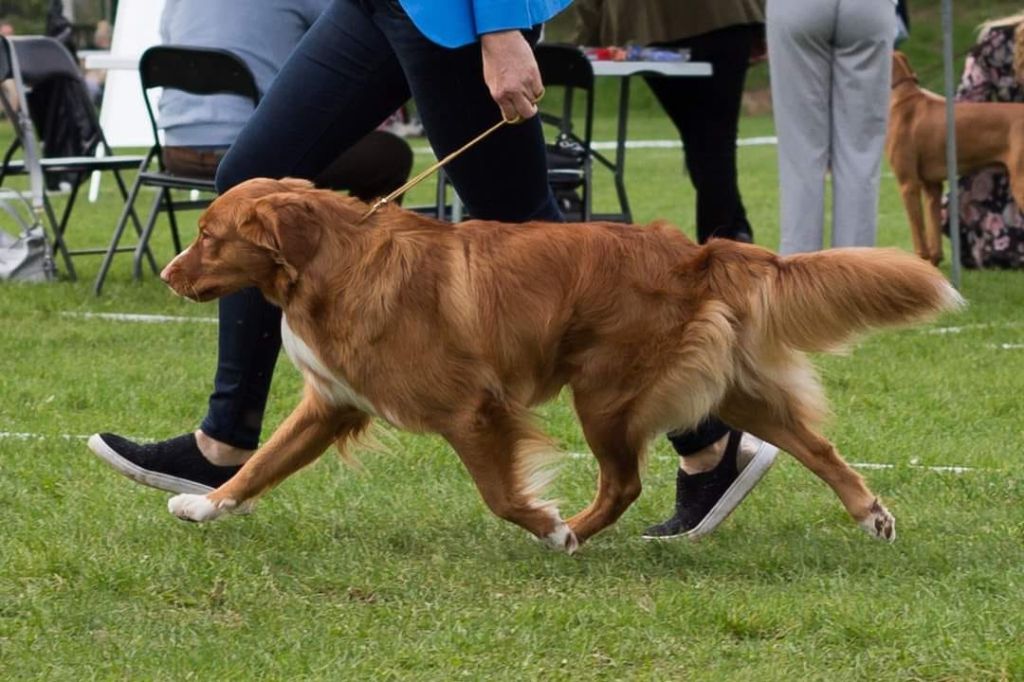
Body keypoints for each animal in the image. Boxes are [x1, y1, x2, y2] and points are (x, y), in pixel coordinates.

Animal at [159, 176, 958, 552]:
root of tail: (695, 251)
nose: (168, 273)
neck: (338, 262)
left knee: (626, 482)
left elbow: (499, 494)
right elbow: (264, 461)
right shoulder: (331, 404)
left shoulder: (472, 410)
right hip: (721, 388)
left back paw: (575, 529)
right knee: (814, 446)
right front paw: (204, 502)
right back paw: (870, 513)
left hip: (604, 393)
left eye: (209, 236)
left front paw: (545, 524)